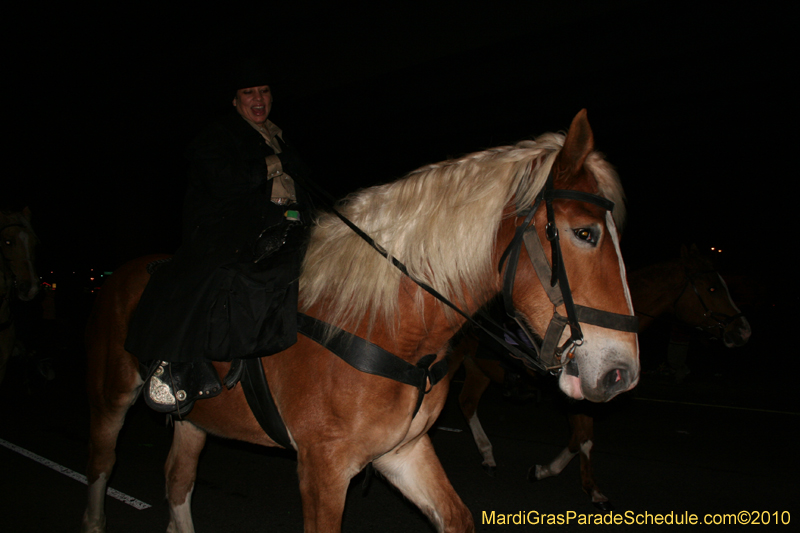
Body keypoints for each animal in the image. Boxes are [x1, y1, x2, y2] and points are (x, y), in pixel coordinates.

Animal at [81, 109, 640, 532]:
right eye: (586, 233)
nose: (621, 373)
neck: (389, 325)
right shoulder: (322, 471)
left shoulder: (403, 451)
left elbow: (456, 517)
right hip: (111, 399)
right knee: (101, 472)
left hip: (195, 418)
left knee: (178, 481)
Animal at [456, 243, 752, 510]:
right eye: (712, 288)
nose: (743, 331)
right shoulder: (575, 398)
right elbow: (583, 439)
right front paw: (589, 488)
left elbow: (579, 440)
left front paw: (546, 471)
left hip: (478, 367)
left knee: (467, 404)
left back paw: (487, 455)